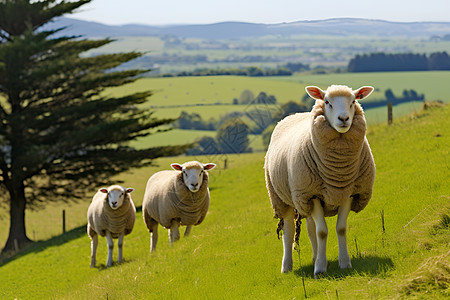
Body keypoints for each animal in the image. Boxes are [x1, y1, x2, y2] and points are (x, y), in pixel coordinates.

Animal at [264, 84, 376, 276]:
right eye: (327, 102)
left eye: (353, 101)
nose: (344, 118)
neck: (338, 170)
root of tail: (293, 114)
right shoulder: (312, 194)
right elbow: (322, 232)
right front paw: (320, 269)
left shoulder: (348, 192)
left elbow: (340, 229)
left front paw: (344, 263)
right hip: (282, 198)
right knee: (289, 230)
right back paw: (287, 267)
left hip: (305, 201)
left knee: (311, 229)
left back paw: (316, 257)